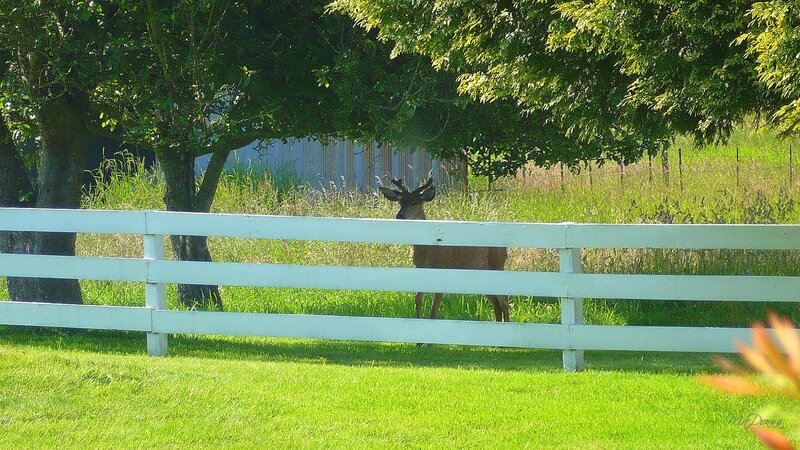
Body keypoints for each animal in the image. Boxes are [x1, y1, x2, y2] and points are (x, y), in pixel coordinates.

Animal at [380, 177, 510, 322]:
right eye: (400, 202)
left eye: (415, 202)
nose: (399, 216)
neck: (426, 250)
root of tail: (504, 250)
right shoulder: (422, 270)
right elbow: (418, 299)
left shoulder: (442, 270)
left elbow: (433, 311)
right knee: (496, 304)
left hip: (497, 265)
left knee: (504, 301)